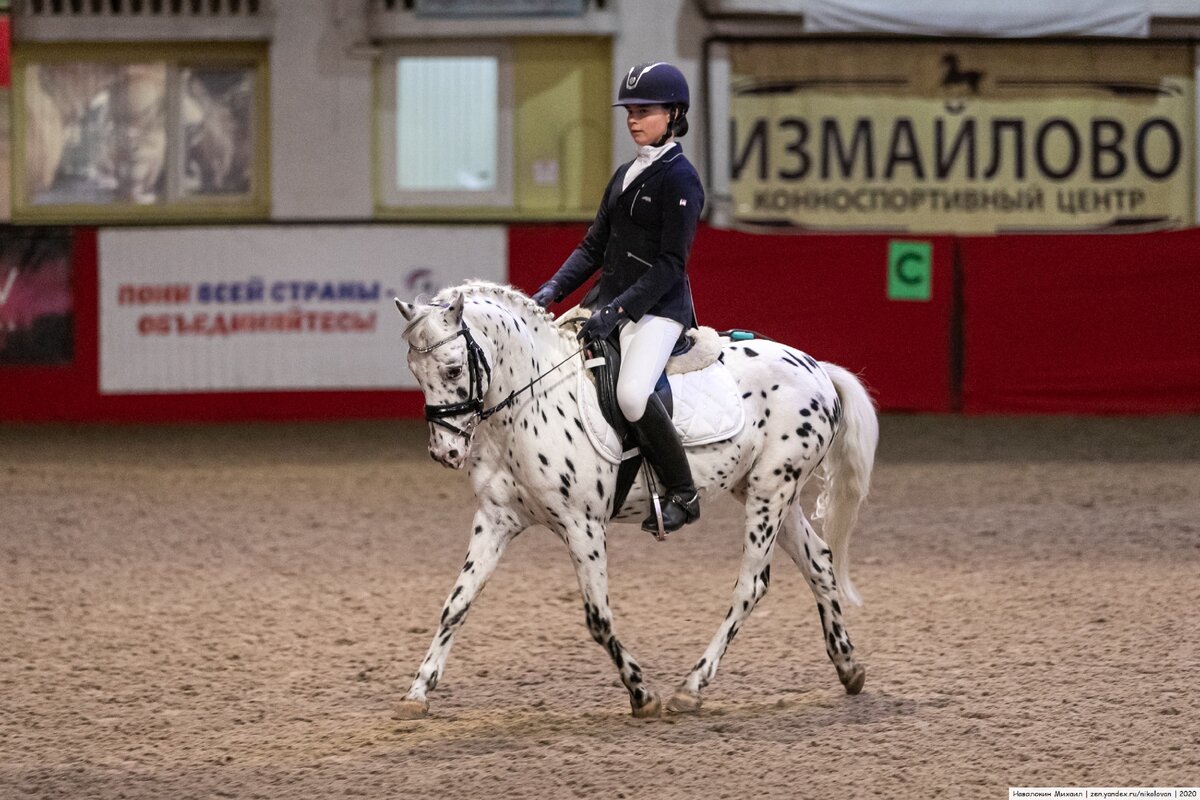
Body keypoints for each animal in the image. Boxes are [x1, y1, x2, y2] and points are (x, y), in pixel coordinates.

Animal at [393, 280, 883, 719]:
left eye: (453, 370)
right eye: (414, 372)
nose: (444, 453)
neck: (528, 402)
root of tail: (817, 367)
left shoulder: (583, 526)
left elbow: (598, 619)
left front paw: (642, 694)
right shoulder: (496, 519)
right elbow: (456, 604)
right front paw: (418, 692)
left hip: (770, 491)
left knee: (752, 585)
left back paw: (692, 687)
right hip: (769, 489)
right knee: (818, 560)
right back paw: (848, 665)